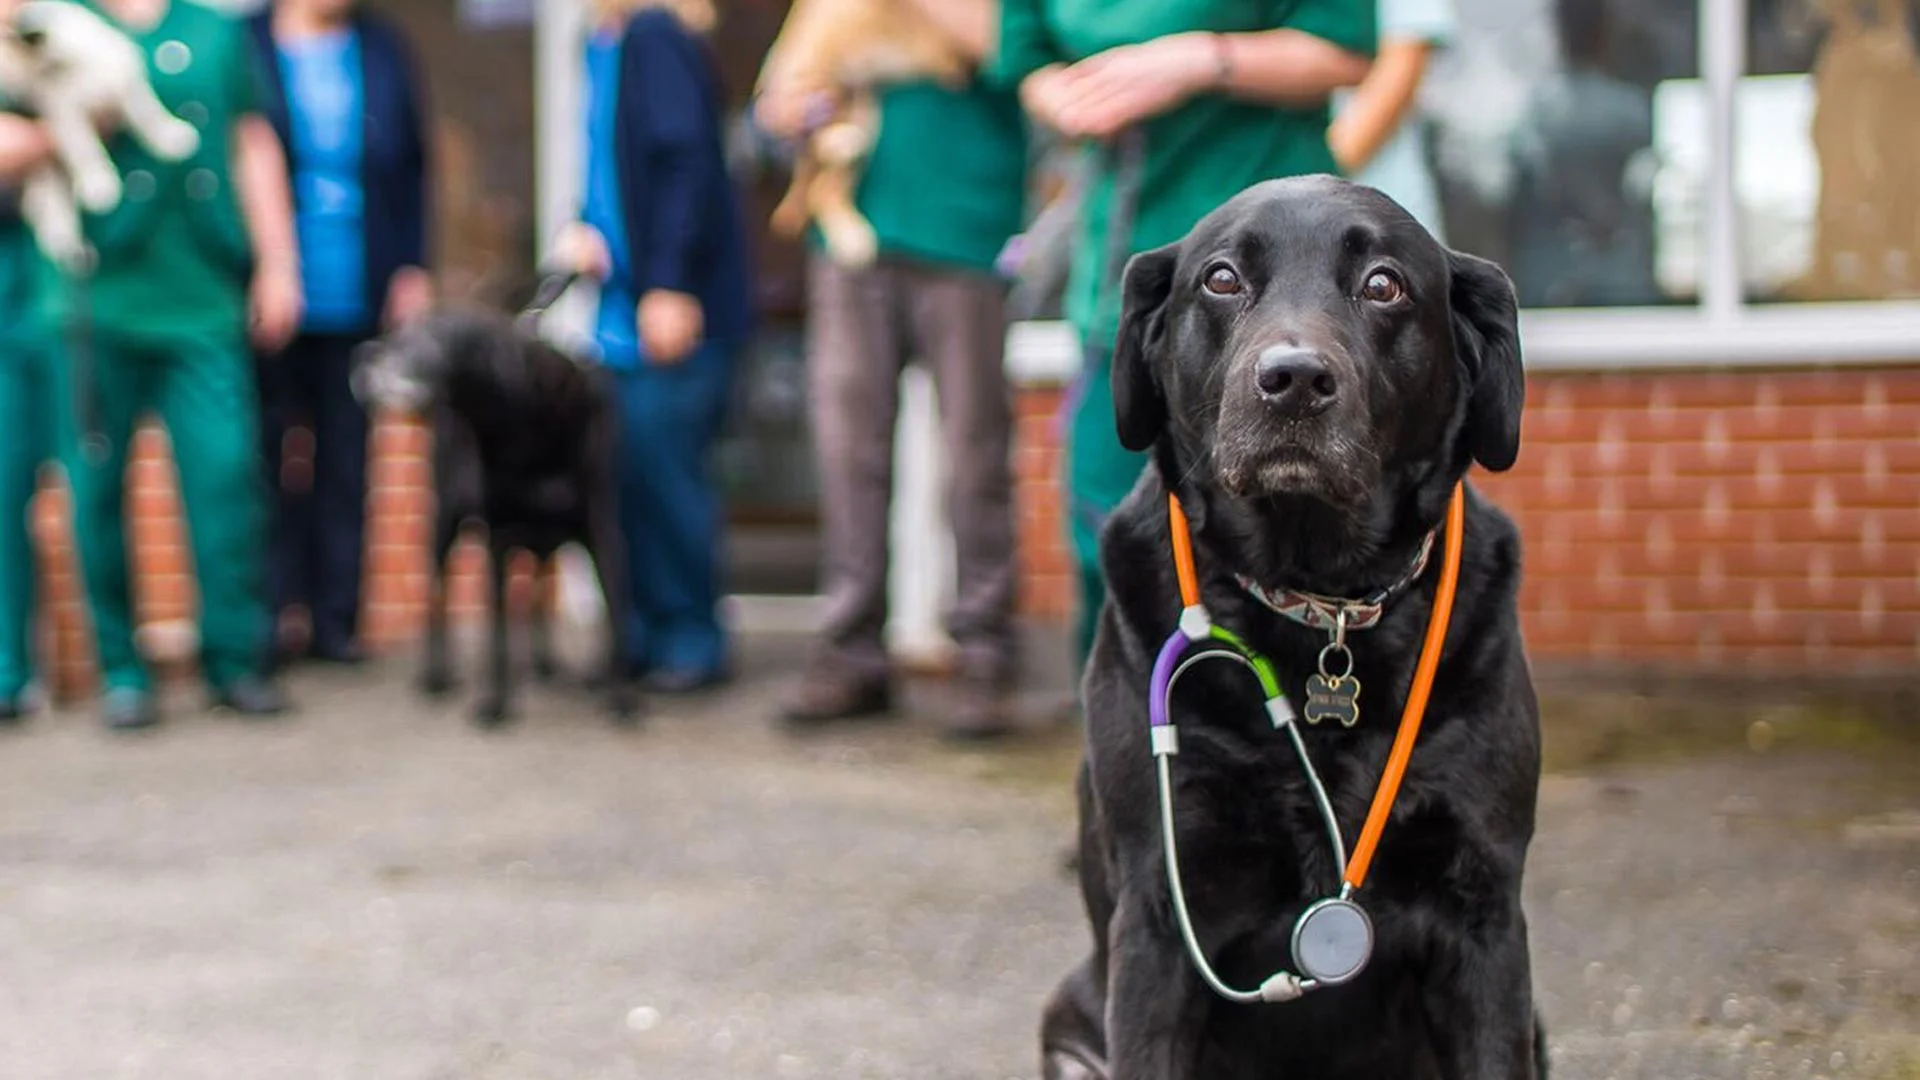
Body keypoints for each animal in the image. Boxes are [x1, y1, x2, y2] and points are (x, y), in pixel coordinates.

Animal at [351, 282, 637, 726]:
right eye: (397, 332)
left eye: (420, 340)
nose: (361, 357)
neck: (526, 416)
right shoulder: (498, 539)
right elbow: (498, 633)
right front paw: (496, 705)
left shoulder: (605, 532)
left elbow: (617, 619)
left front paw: (621, 701)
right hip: (444, 520)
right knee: (438, 595)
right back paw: (437, 676)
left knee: (537, 590)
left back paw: (545, 666)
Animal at [1044, 178, 1551, 1076]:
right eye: (1220, 279)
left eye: (1384, 284)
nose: (1293, 379)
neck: (1320, 603)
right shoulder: (1157, 919)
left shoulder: (1485, 915)